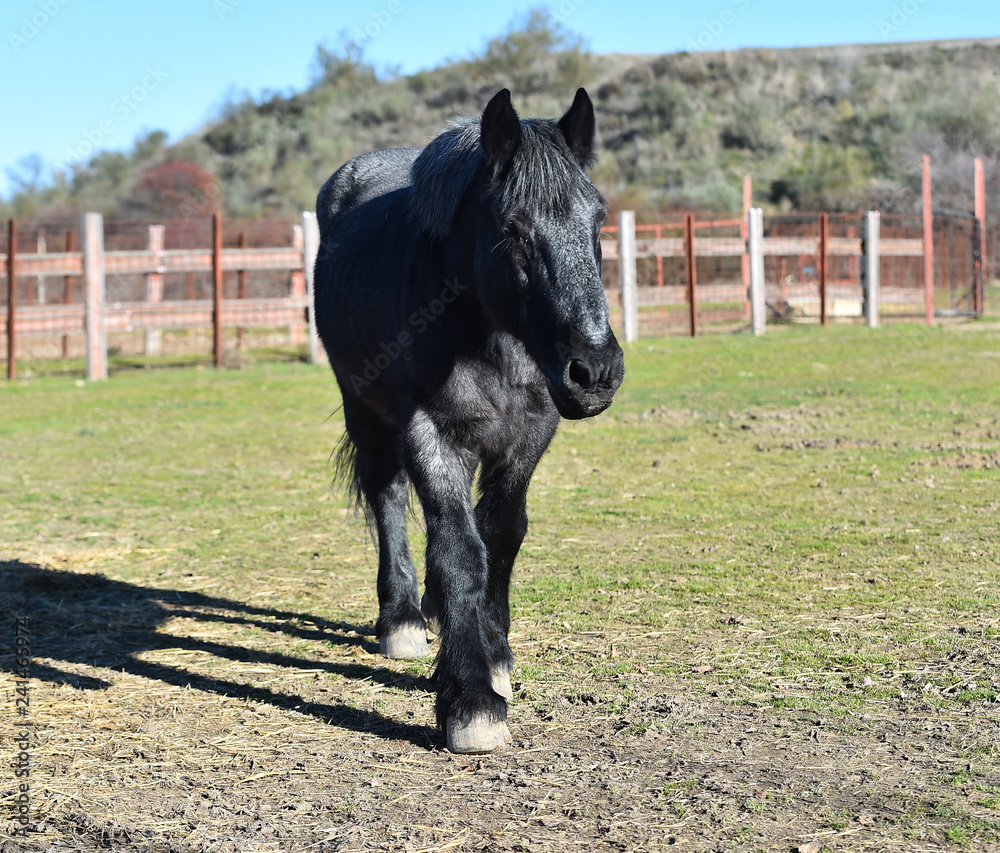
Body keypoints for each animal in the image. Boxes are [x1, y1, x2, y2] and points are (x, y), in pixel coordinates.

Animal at [313, 88, 624, 753]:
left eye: (598, 222)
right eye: (512, 229)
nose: (594, 371)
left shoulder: (527, 436)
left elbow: (500, 538)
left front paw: (495, 655)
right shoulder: (431, 433)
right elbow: (459, 551)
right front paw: (471, 701)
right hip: (365, 411)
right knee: (388, 497)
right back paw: (404, 619)